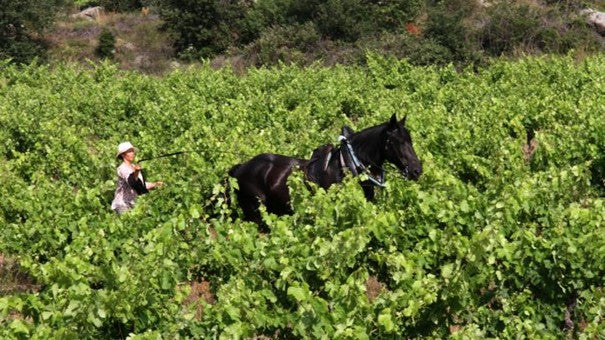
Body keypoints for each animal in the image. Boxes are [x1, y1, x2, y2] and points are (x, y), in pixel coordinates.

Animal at [226, 115, 420, 226]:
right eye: (397, 142)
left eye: (410, 140)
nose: (417, 170)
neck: (350, 165)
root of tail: (241, 168)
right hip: (254, 212)